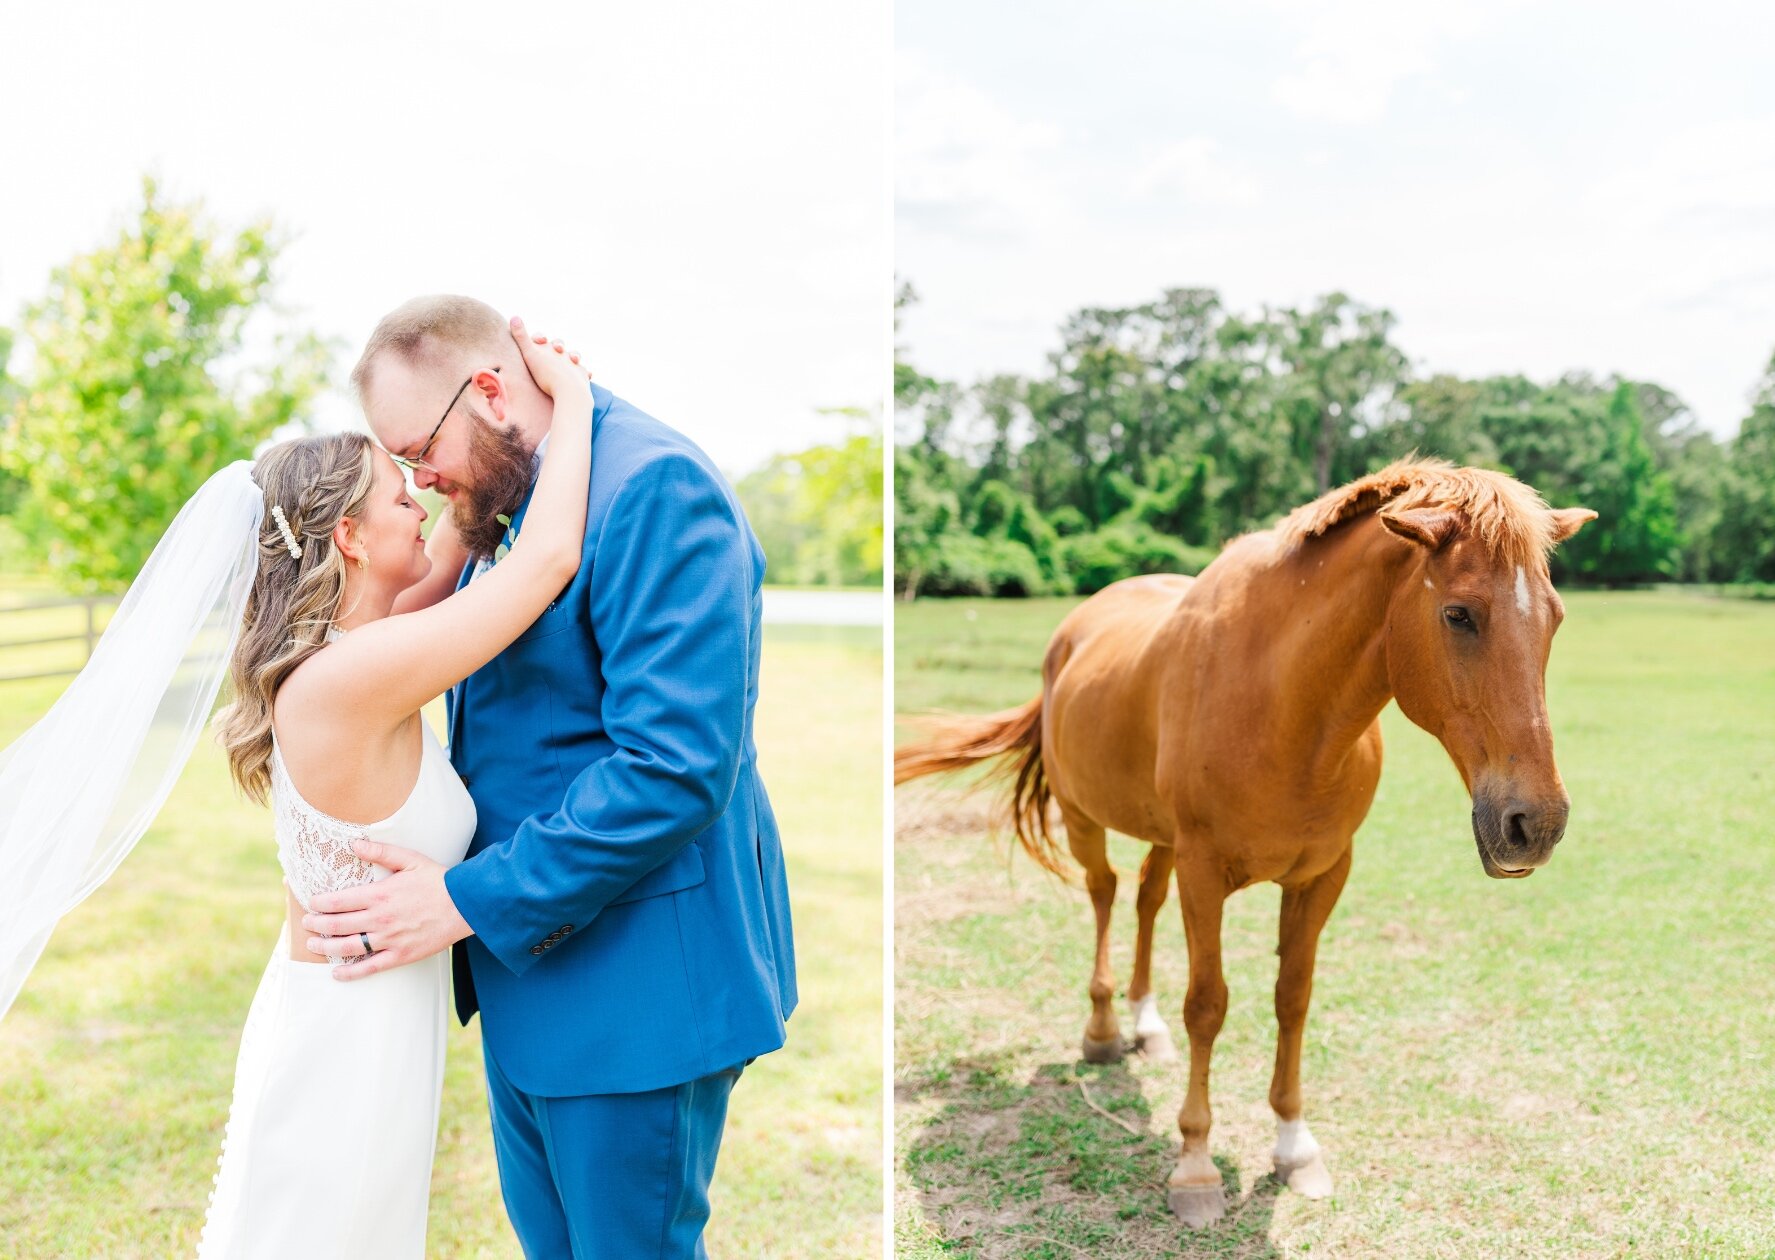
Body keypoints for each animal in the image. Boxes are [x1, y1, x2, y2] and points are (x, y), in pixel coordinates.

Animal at [894, 457, 1604, 1228]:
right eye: (1458, 614)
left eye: (1555, 618)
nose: (1536, 824)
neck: (1285, 708)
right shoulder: (1205, 872)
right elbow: (1208, 1005)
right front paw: (1195, 1167)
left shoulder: (1323, 875)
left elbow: (1292, 997)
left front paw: (1294, 1147)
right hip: (1086, 820)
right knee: (1105, 896)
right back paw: (1105, 1030)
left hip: (1164, 841)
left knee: (1144, 899)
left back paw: (1143, 1025)